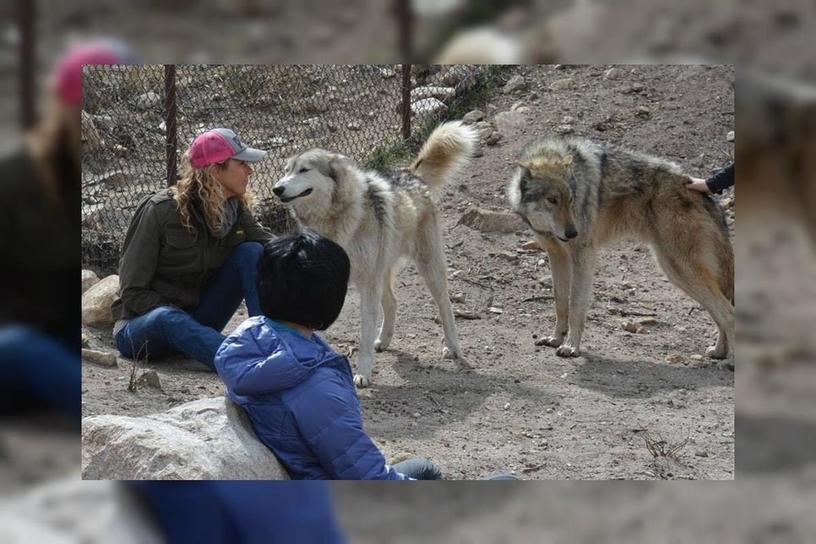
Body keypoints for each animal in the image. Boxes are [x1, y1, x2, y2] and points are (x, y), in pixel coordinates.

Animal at [274, 121, 478, 384]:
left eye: (304, 170)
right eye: (286, 170)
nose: (276, 188)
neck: (335, 218)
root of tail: (410, 173)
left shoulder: (367, 284)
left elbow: (364, 333)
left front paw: (362, 373)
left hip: (427, 268)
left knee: (445, 304)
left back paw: (452, 347)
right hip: (383, 272)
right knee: (392, 301)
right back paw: (384, 340)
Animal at [506, 138, 736, 372]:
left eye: (571, 200)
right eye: (552, 200)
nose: (572, 233)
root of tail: (706, 197)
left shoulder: (583, 256)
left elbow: (576, 306)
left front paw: (571, 347)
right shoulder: (557, 256)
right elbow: (560, 303)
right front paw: (555, 339)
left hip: (680, 269)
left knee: (728, 312)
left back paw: (732, 361)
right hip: (676, 272)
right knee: (720, 312)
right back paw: (719, 352)